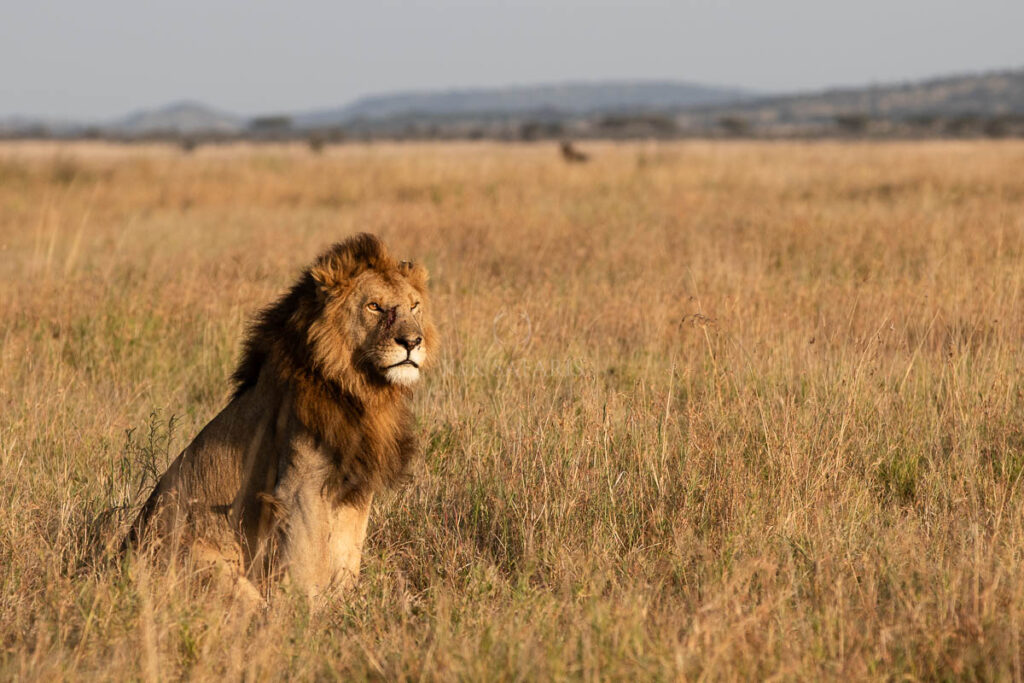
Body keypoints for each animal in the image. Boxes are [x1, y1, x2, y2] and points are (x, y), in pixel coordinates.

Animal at [125, 233, 437, 601]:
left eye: (414, 306)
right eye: (374, 306)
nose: (412, 341)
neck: (361, 391)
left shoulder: (355, 489)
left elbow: (348, 555)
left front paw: (348, 603)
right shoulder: (300, 489)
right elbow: (311, 564)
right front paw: (310, 611)